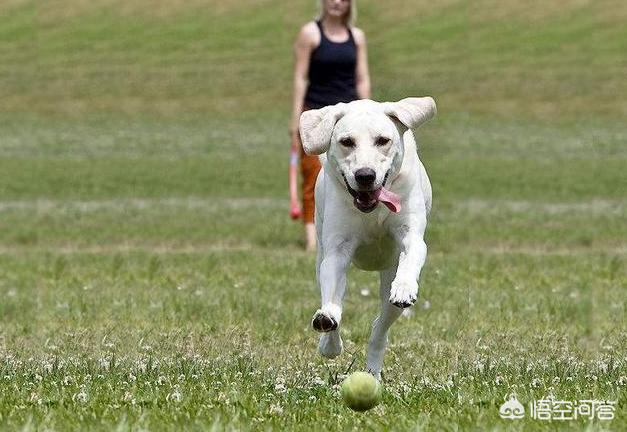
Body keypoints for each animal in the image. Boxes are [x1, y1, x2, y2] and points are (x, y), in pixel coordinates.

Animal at [300, 97, 436, 378]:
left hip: (388, 283)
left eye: (383, 140)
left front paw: (404, 287)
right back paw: (329, 339)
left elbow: (412, 251)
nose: (365, 175)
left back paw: (373, 369)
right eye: (346, 141)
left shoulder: (411, 232)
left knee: (380, 326)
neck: (373, 210)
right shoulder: (337, 249)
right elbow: (333, 292)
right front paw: (327, 322)